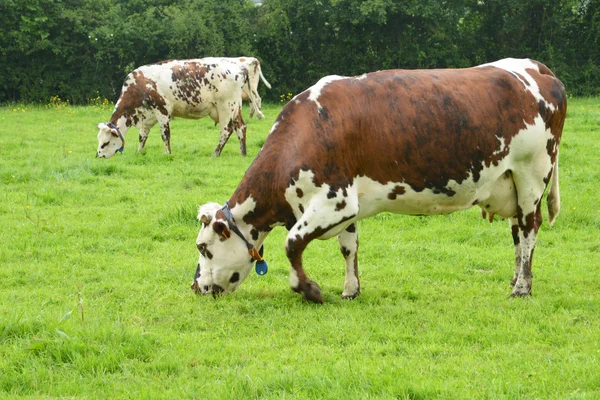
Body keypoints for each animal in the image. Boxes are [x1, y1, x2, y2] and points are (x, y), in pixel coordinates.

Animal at [96, 58, 260, 158]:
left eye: (106, 143)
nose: (99, 156)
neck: (141, 86)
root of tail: (239, 67)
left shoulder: (162, 111)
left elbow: (165, 135)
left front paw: (168, 153)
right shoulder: (147, 116)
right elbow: (142, 136)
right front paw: (139, 152)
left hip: (225, 106)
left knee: (226, 130)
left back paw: (215, 154)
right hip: (235, 108)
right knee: (241, 127)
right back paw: (243, 153)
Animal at [191, 57, 568, 304]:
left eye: (203, 248)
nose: (197, 287)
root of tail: (537, 67)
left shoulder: (334, 201)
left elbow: (292, 243)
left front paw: (310, 290)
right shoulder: (347, 207)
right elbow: (349, 247)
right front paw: (350, 290)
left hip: (532, 173)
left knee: (530, 227)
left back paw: (522, 288)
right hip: (511, 182)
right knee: (517, 233)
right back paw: (517, 278)